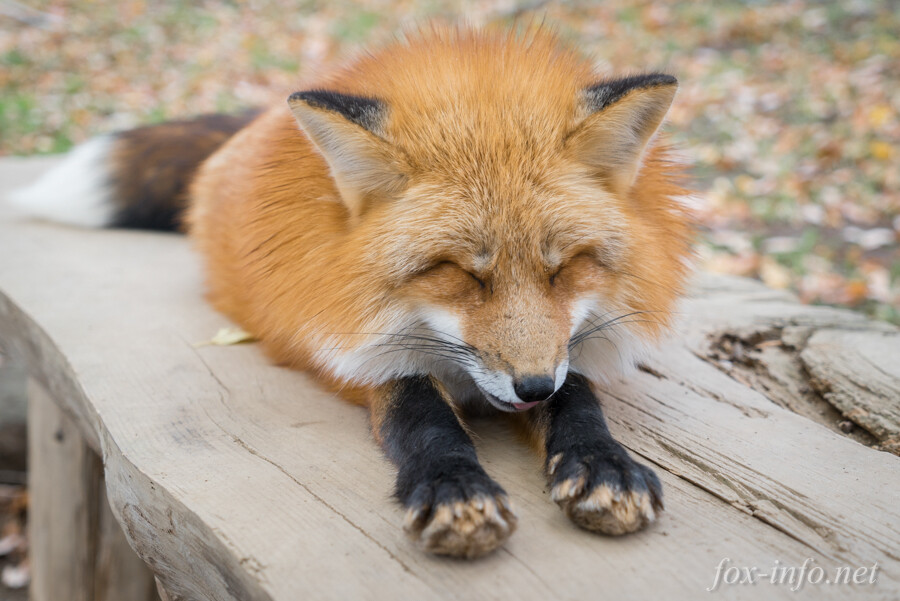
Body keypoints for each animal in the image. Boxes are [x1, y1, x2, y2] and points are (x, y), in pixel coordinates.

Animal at [10, 24, 688, 556]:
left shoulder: (559, 352)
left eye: (564, 268)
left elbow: (579, 395)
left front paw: (603, 463)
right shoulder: (354, 342)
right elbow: (420, 415)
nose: (531, 388)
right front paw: (452, 485)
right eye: (459, 272)